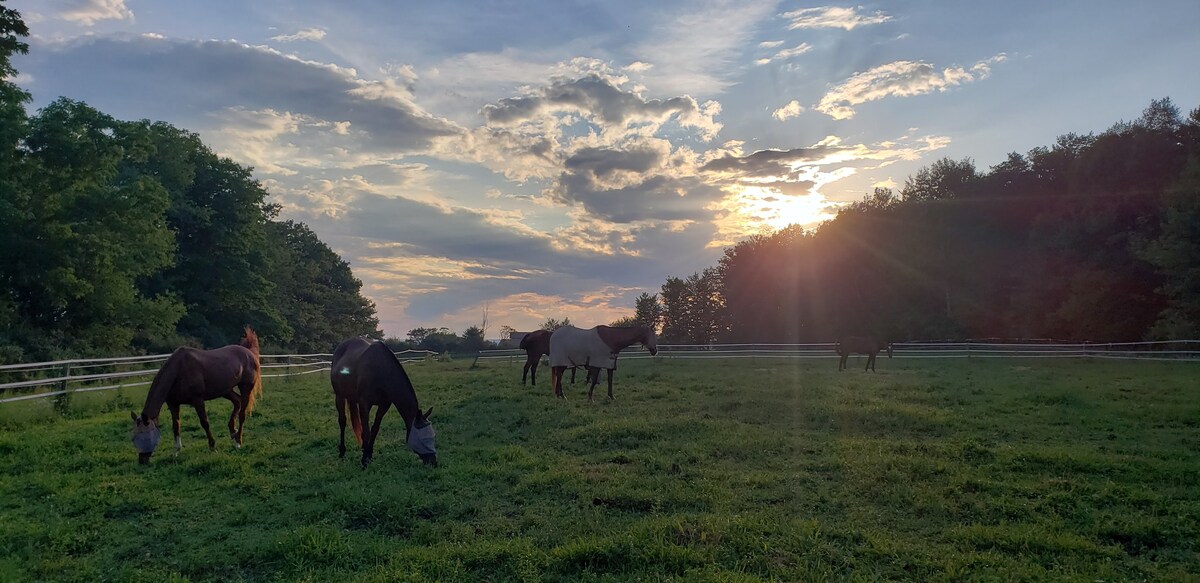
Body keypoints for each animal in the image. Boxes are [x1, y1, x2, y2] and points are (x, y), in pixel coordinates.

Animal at [131, 323, 262, 465]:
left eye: (146, 435)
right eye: (134, 436)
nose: (142, 460)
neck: (178, 370)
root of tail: (248, 352)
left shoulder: (198, 400)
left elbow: (205, 422)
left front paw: (212, 447)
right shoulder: (173, 404)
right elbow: (176, 426)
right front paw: (176, 451)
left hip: (245, 388)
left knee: (243, 413)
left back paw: (238, 441)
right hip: (225, 390)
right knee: (237, 402)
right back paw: (233, 434)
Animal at [331, 335, 439, 470]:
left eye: (433, 437)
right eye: (424, 439)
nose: (433, 462)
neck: (380, 369)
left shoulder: (384, 405)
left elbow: (374, 430)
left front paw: (368, 455)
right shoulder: (364, 404)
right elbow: (366, 432)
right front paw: (364, 461)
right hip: (339, 397)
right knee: (342, 422)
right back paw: (342, 452)